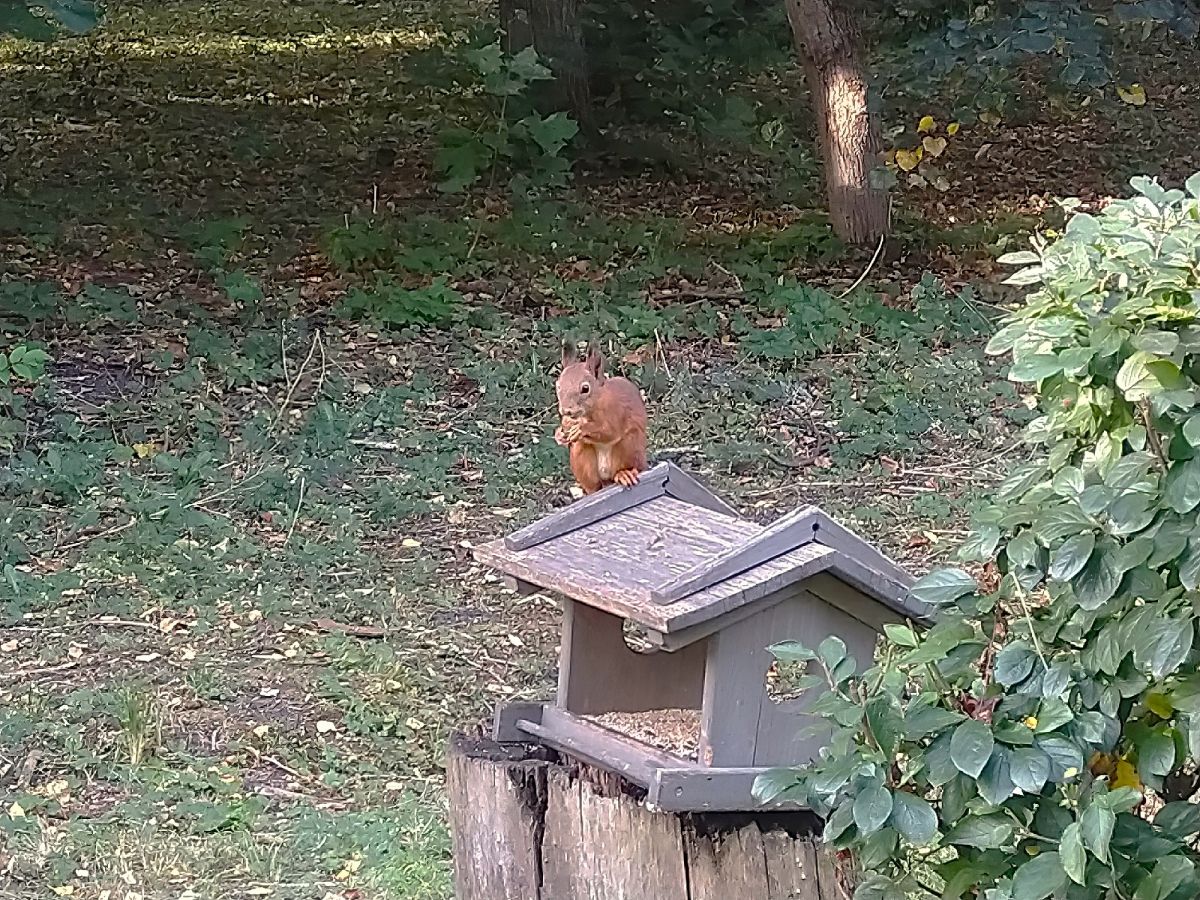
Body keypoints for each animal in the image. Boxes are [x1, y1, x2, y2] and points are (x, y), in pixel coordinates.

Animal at [552, 340, 648, 496]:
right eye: (558, 386)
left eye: (585, 389)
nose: (566, 411)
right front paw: (559, 434)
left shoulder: (616, 412)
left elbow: (609, 431)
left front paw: (580, 429)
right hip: (582, 457)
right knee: (594, 484)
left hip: (629, 446)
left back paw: (624, 474)